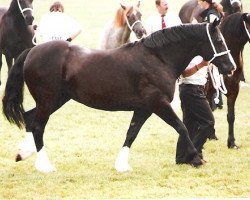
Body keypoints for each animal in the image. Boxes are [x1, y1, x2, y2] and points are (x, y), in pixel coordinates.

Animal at [2, 21, 235, 172]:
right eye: (218, 40)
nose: (231, 67)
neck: (158, 59)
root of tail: (32, 51)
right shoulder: (159, 104)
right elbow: (181, 127)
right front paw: (196, 159)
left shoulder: (144, 108)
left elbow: (131, 133)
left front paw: (121, 165)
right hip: (48, 100)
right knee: (38, 125)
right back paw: (45, 166)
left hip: (56, 100)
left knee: (30, 119)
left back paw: (23, 153)